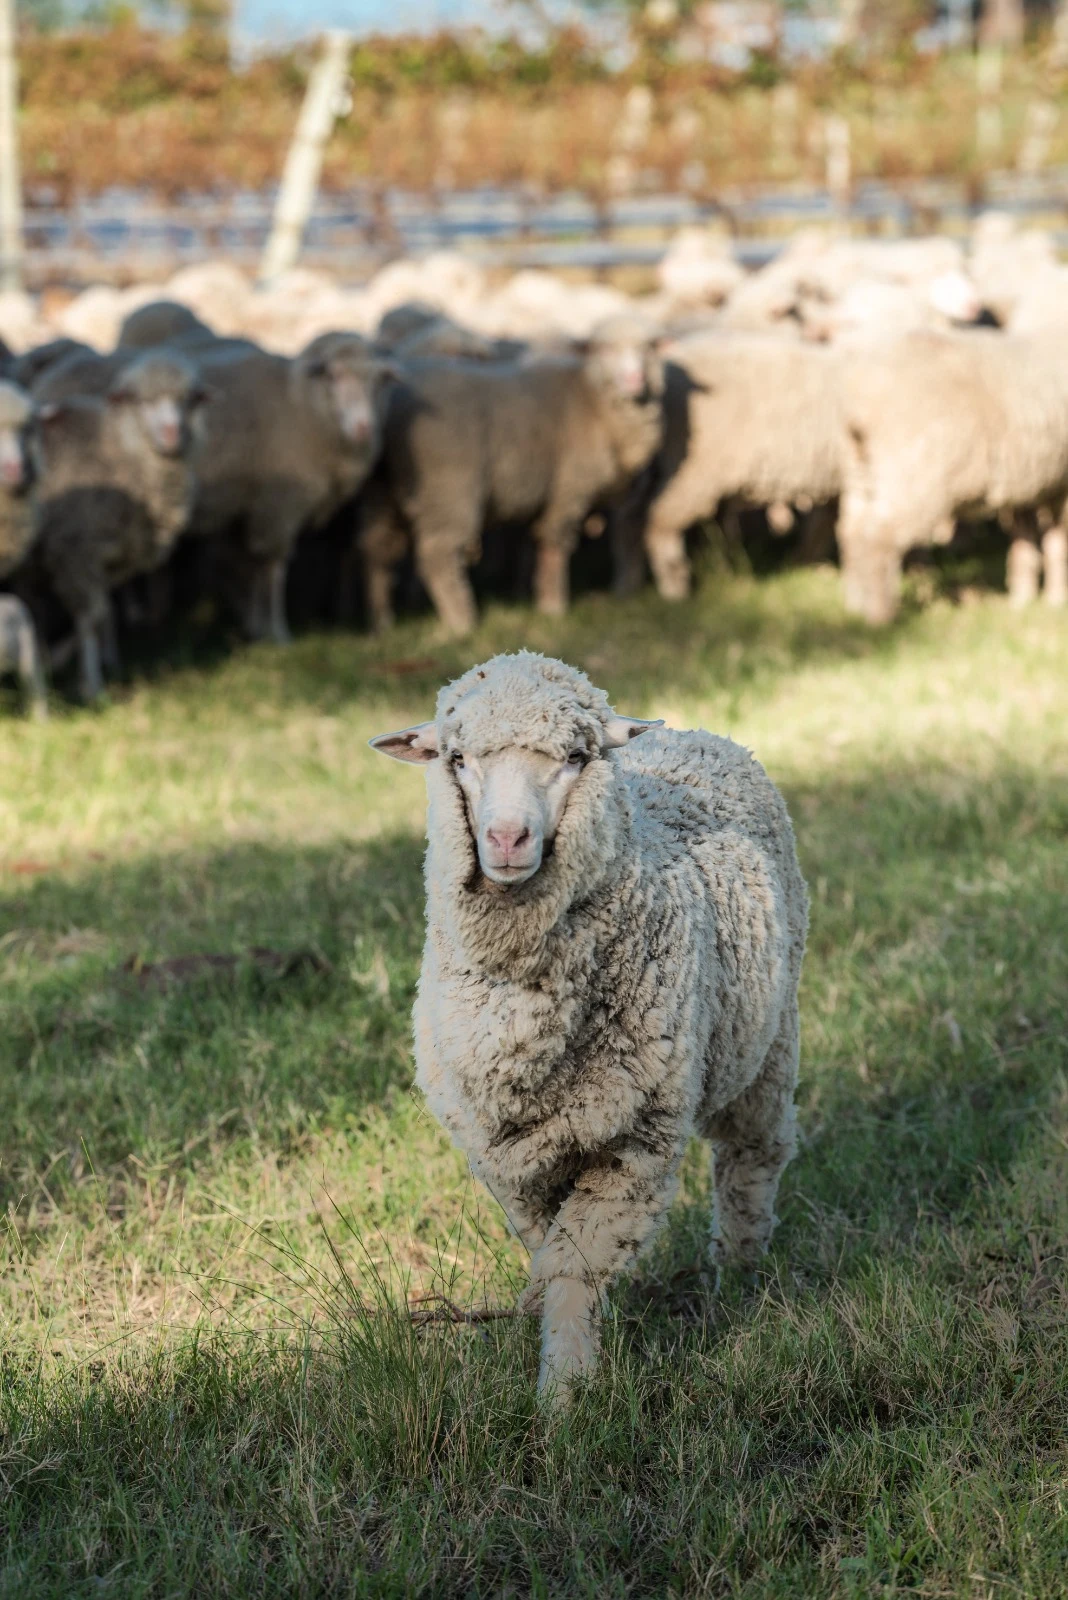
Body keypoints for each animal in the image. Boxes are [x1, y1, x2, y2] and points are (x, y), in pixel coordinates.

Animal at [26, 350, 204, 700]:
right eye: (143, 400)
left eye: (187, 399)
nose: (172, 433)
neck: (120, 447)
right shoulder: (75, 552)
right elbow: (92, 616)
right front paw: (91, 685)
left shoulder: (104, 557)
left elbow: (106, 611)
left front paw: (108, 663)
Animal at [359, 315, 666, 634]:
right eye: (603, 349)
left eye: (648, 348)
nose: (634, 379)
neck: (591, 398)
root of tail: (392, 401)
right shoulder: (569, 489)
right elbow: (554, 544)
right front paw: (554, 606)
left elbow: (533, 545)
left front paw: (533, 593)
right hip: (446, 487)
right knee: (437, 553)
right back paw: (461, 621)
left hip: (384, 489)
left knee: (377, 546)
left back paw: (381, 621)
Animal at [371, 651, 808, 1403]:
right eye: (457, 758)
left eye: (575, 757)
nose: (507, 838)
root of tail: (694, 731)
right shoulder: (511, 1157)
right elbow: (548, 1254)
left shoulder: (633, 1143)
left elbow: (574, 1267)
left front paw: (564, 1399)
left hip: (769, 1042)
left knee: (751, 1159)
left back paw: (739, 1276)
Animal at [837, 327, 1068, 624]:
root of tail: (859, 404)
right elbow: (1057, 541)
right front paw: (1056, 598)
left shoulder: (1034, 480)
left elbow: (1029, 541)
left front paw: (1024, 597)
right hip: (914, 471)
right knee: (879, 537)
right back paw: (880, 616)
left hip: (861, 469)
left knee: (851, 531)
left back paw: (854, 605)